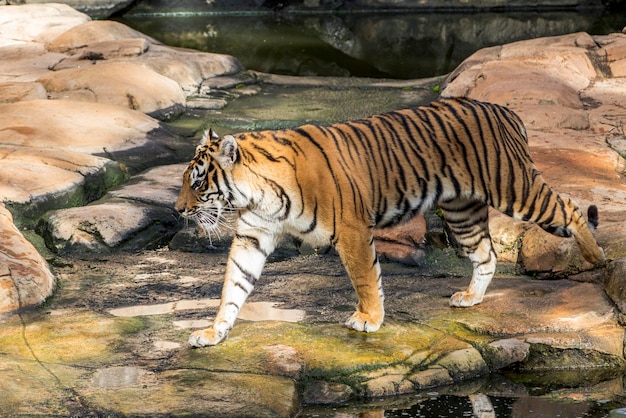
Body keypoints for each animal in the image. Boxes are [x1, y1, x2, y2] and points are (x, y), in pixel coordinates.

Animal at [173, 96, 604, 348]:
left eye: (197, 183)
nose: (177, 209)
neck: (258, 193)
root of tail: (504, 110)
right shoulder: (253, 235)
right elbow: (234, 284)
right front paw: (213, 331)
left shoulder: (352, 230)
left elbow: (365, 278)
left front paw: (368, 320)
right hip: (462, 211)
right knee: (487, 254)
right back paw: (471, 297)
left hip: (514, 188)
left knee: (569, 207)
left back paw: (596, 257)